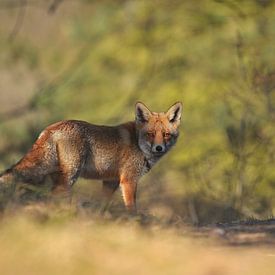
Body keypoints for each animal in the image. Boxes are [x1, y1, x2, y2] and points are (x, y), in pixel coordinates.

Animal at [0, 102, 183, 212]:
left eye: (166, 135)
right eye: (150, 134)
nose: (159, 148)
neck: (138, 143)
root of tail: (51, 127)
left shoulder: (110, 181)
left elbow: (102, 204)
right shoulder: (128, 180)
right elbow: (132, 208)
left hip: (54, 176)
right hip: (71, 174)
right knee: (56, 195)